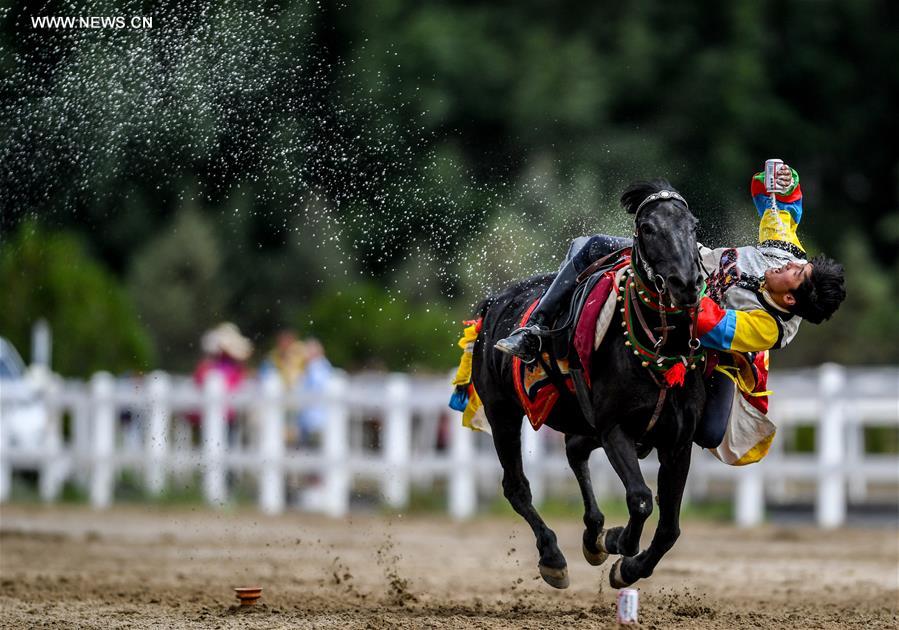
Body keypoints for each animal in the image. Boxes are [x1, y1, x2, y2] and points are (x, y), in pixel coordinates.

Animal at [472, 179, 712, 592]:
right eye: (647, 228)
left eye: (693, 226)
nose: (686, 283)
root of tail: (494, 304)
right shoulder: (614, 429)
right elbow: (640, 499)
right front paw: (618, 542)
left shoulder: (678, 443)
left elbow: (669, 529)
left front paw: (624, 563)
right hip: (501, 412)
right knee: (517, 487)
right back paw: (553, 556)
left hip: (578, 420)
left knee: (574, 453)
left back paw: (593, 535)